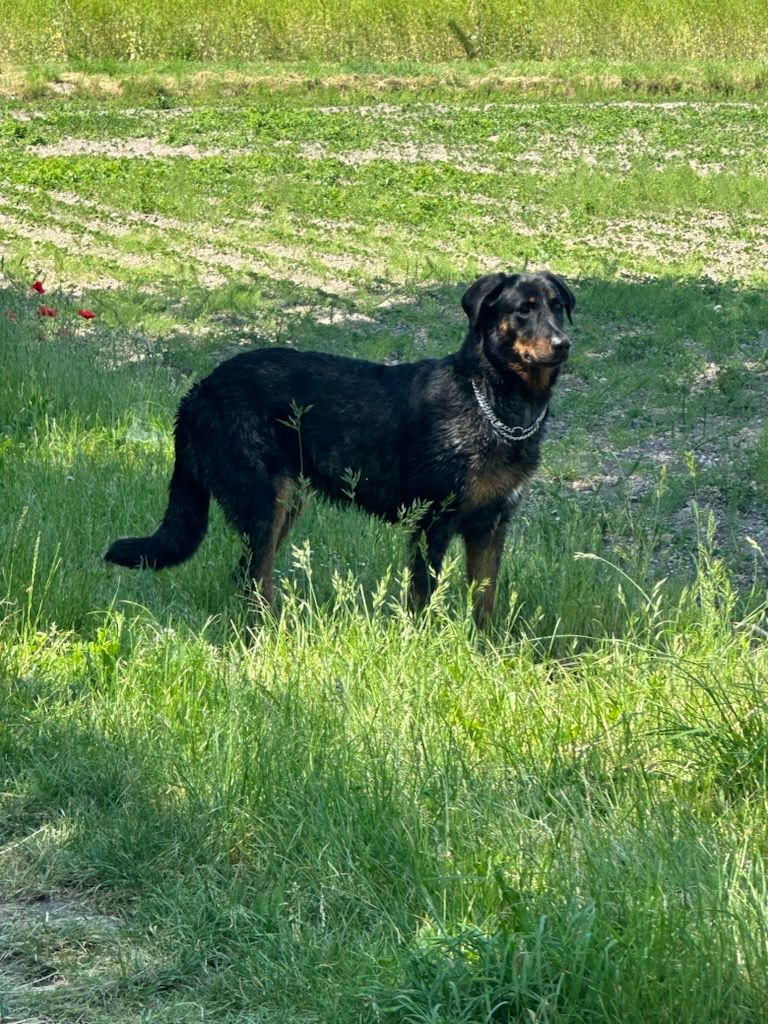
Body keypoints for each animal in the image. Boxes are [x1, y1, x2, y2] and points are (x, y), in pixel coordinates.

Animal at [108, 272, 577, 622]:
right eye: (523, 310)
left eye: (557, 306)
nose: (563, 344)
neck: (492, 402)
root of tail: (197, 392)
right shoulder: (432, 525)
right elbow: (421, 602)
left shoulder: (490, 526)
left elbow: (485, 605)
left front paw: (483, 654)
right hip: (263, 503)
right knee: (253, 577)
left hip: (285, 505)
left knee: (250, 577)